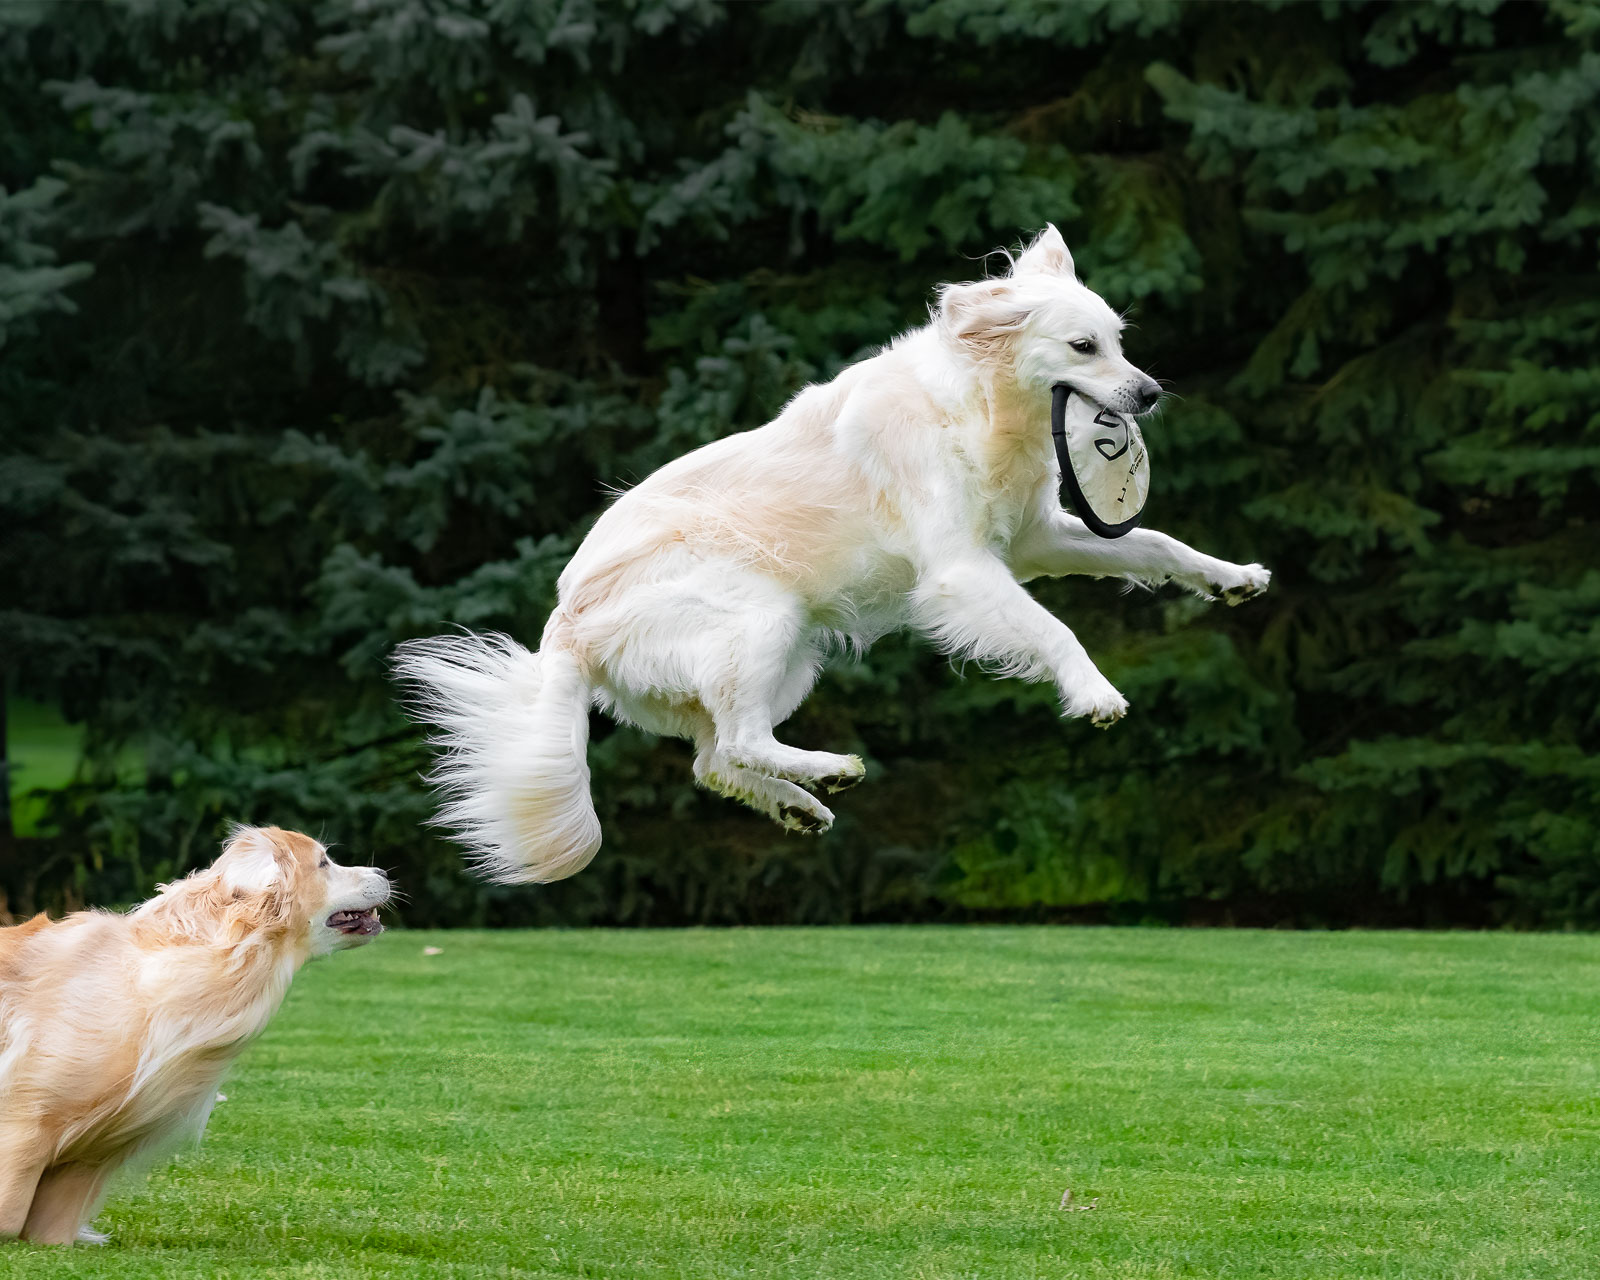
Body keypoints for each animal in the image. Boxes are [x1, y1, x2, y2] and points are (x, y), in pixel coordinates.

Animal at [0, 825, 387, 1248]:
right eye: (323, 863)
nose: (384, 872)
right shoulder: (24, 1122)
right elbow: (9, 1218)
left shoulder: (85, 1161)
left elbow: (52, 1230)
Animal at [403, 227, 1273, 883]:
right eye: (1083, 346)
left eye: (1120, 343)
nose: (1151, 392)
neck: (975, 405)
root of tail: (564, 633)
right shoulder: (965, 571)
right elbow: (1057, 631)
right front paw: (1095, 695)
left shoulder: (1036, 538)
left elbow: (1157, 543)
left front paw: (1233, 579)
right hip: (764, 615)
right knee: (738, 743)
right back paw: (827, 770)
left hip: (790, 655)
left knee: (714, 759)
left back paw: (801, 800)